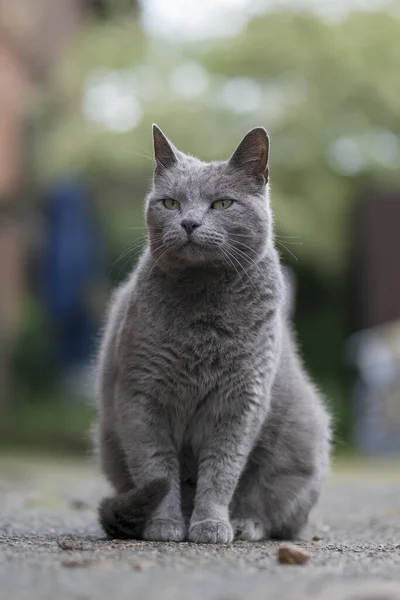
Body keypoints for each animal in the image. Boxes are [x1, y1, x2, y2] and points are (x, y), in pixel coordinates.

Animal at [94, 126, 332, 544]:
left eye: (222, 204)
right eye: (170, 203)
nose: (189, 222)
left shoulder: (241, 401)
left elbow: (222, 470)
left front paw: (210, 524)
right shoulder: (140, 396)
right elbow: (156, 468)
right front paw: (166, 525)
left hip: (300, 443)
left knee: (281, 513)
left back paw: (246, 523)